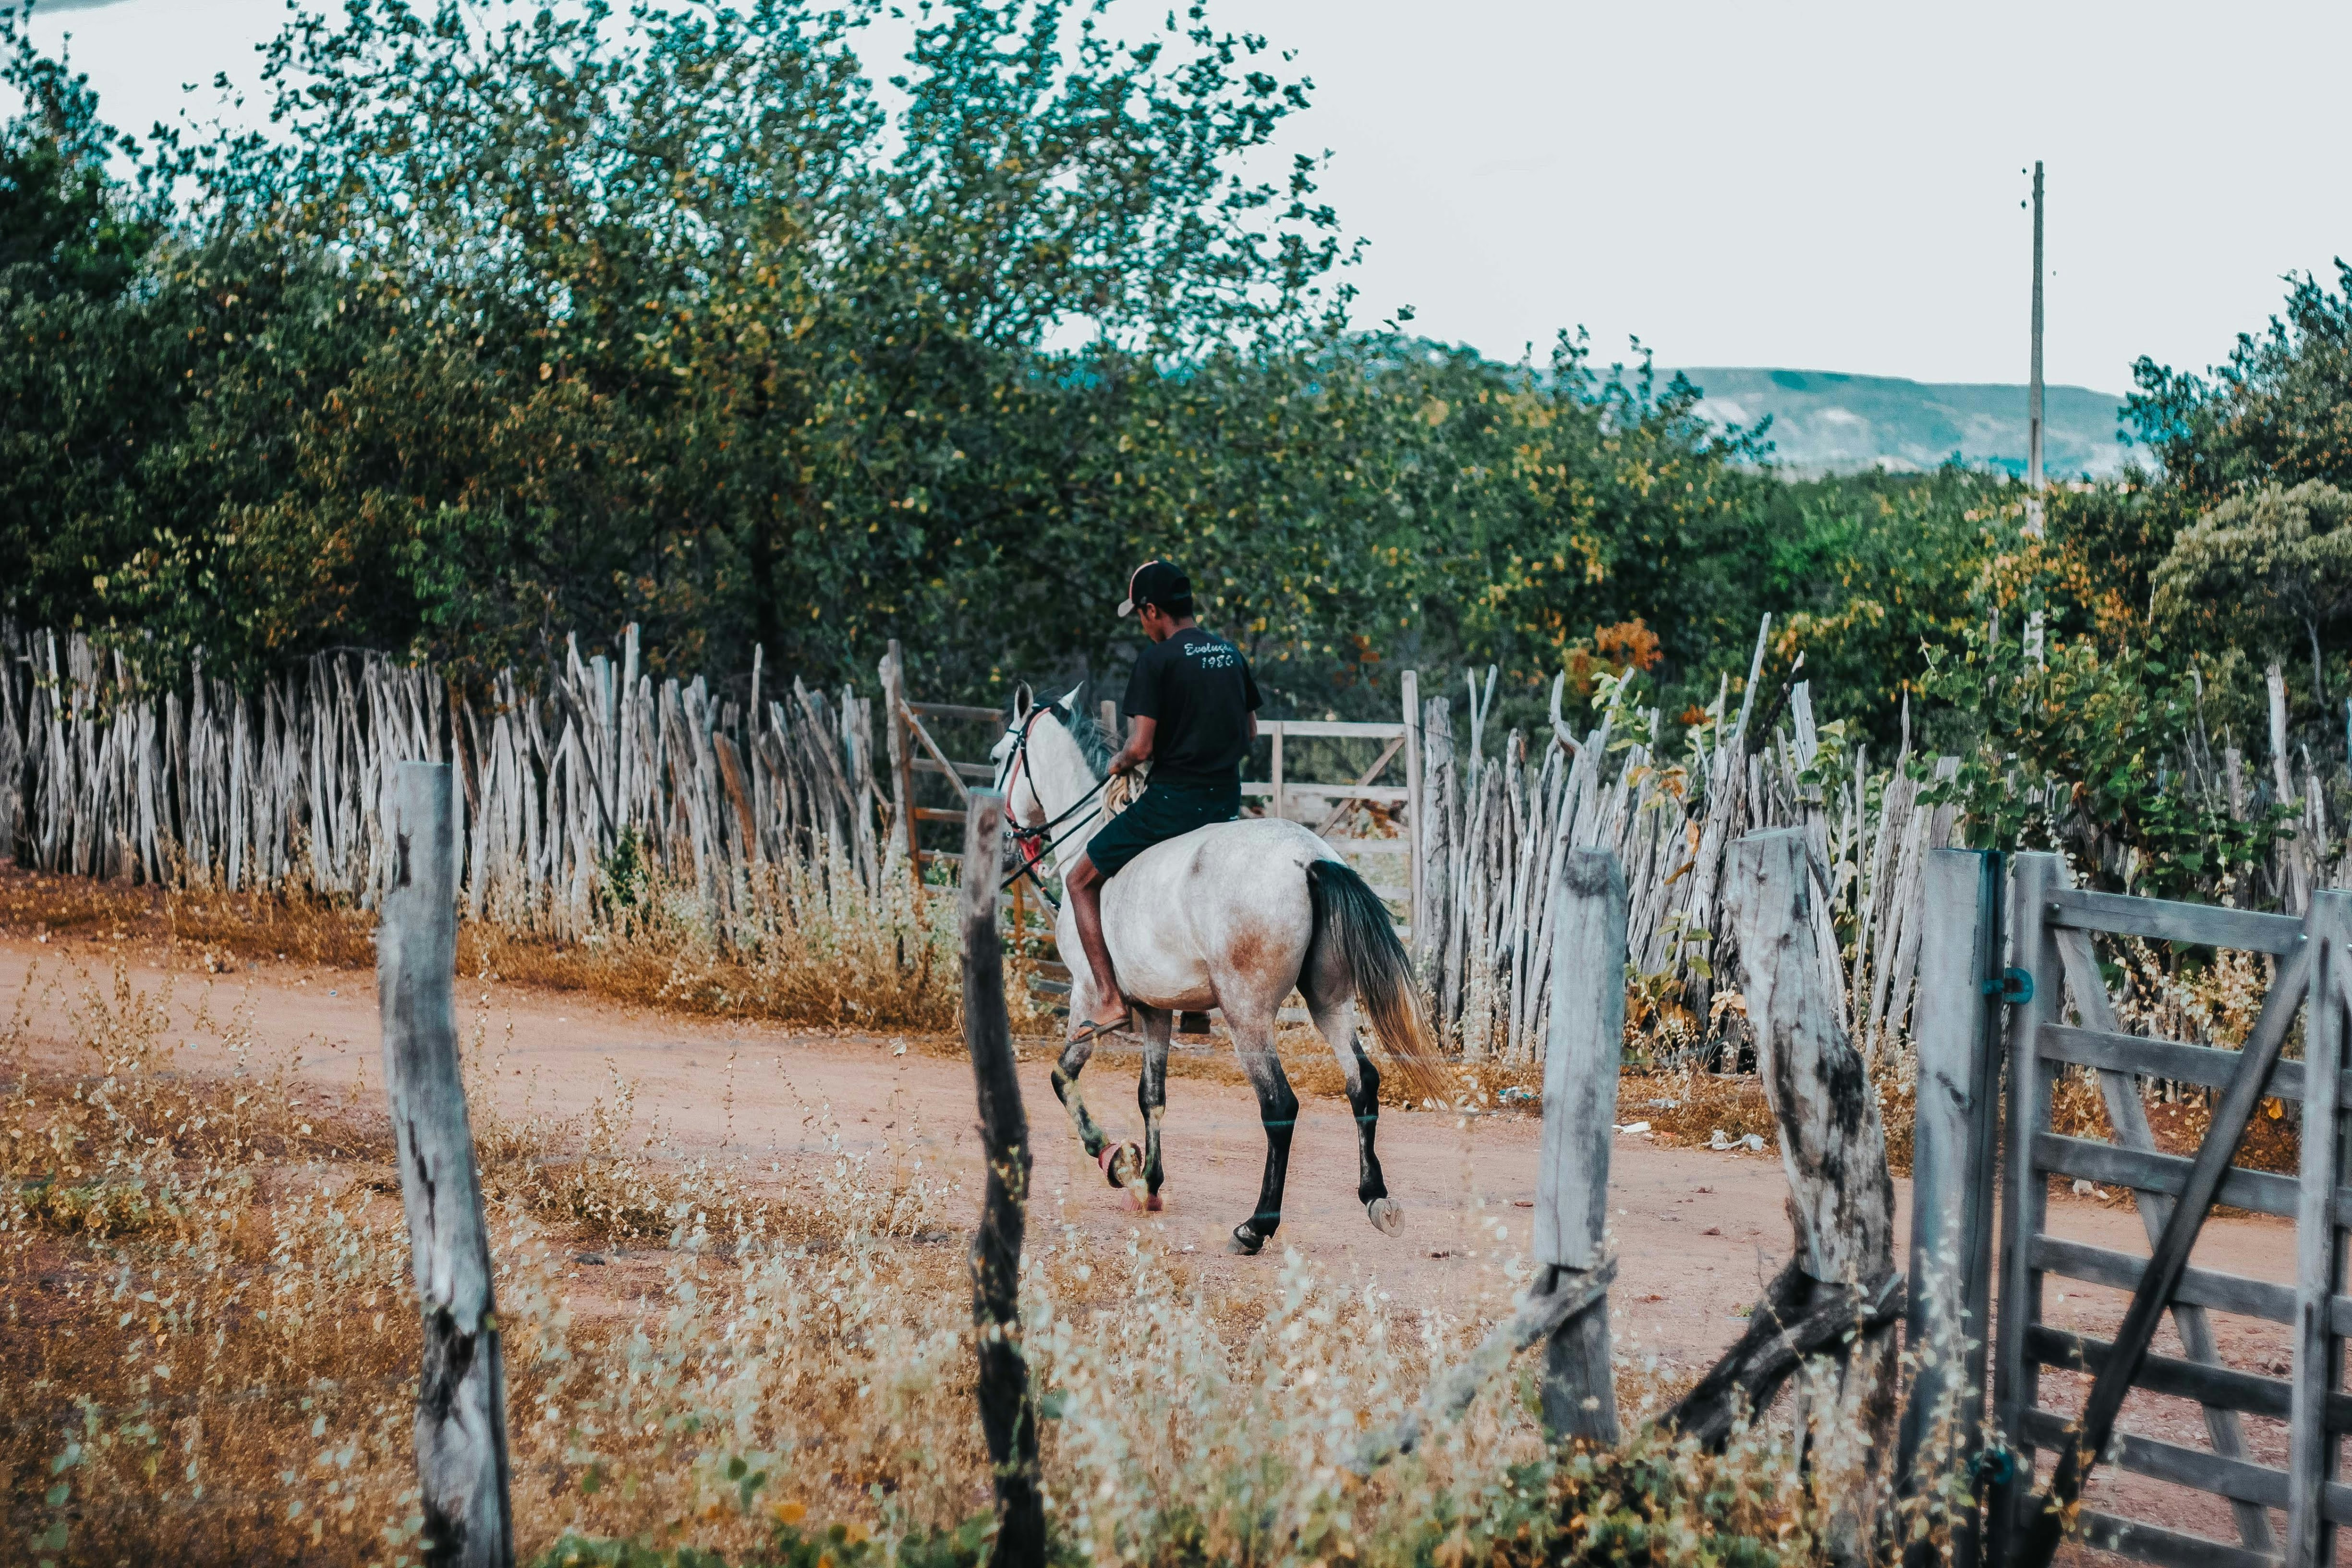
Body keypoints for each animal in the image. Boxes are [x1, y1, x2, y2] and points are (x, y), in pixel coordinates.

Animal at [990, 691, 1453, 1255]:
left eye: (997, 758)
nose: (1005, 839)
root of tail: (1311, 858)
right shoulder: (1156, 1011)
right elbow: (1152, 1096)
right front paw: (1149, 1183)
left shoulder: (1086, 999)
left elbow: (1063, 1077)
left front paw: (1114, 1159)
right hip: (1329, 1003)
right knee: (1361, 1081)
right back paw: (1375, 1196)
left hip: (1245, 1014)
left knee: (1279, 1105)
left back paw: (1256, 1225)